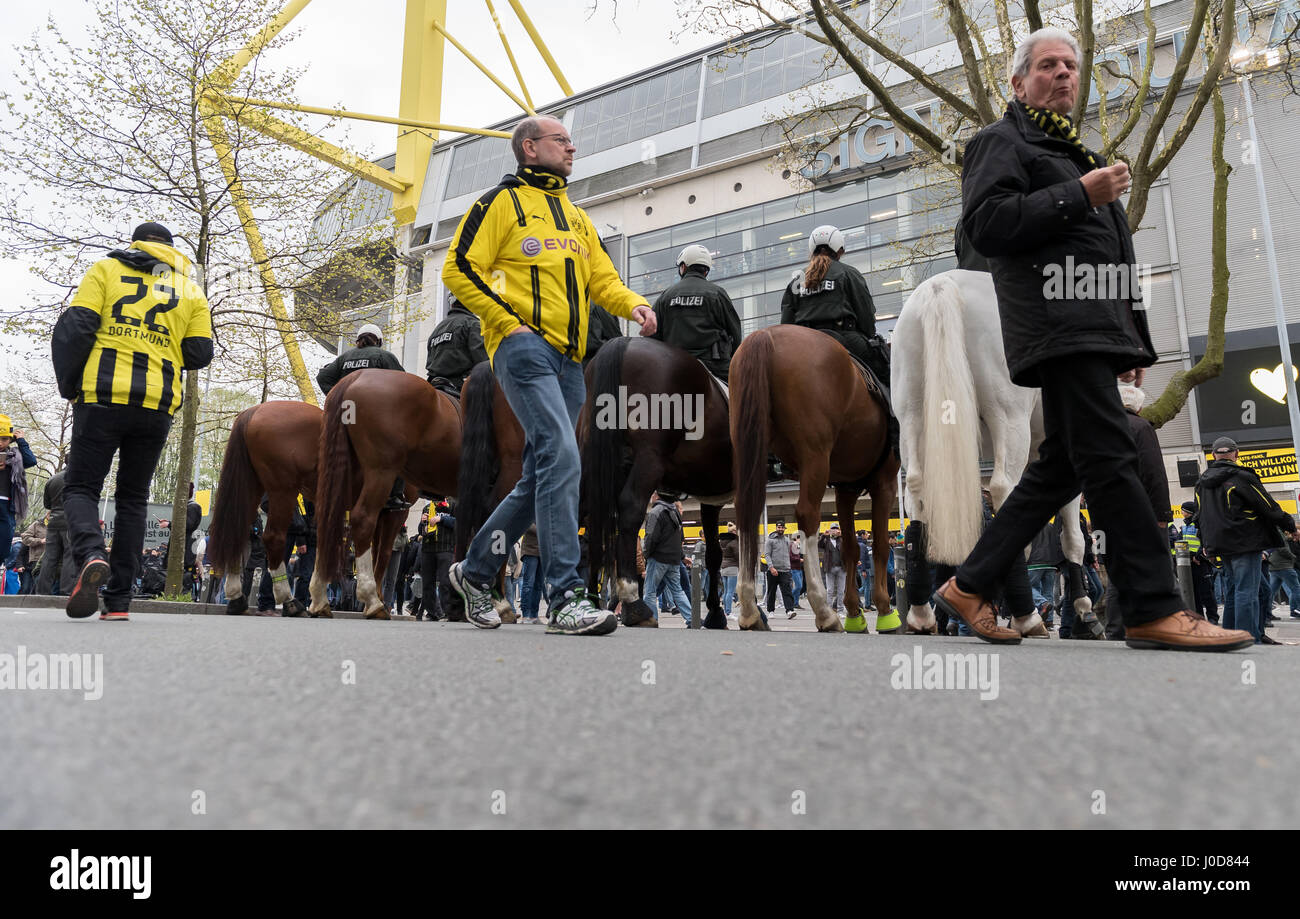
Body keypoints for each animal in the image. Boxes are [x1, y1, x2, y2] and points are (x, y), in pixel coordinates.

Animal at [579, 337, 733, 631]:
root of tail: (624, 343)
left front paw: (715, 612)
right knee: (629, 510)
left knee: (588, 519)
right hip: (649, 458)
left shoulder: (710, 498)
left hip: (593, 461)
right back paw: (634, 605)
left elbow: (714, 553)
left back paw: (590, 600)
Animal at [728, 327, 899, 636]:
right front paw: (885, 611)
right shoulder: (885, 482)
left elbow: (850, 548)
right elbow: (880, 545)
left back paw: (749, 610)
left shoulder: (846, 488)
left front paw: (855, 614)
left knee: (746, 510)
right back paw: (824, 611)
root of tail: (766, 334)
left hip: (748, 447)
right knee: (808, 514)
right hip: (815, 456)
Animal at [889, 269, 1092, 636]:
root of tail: (940, 285)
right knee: (1004, 491)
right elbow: (1072, 537)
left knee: (916, 490)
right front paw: (1083, 608)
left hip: (912, 416)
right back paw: (1026, 616)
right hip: (1008, 417)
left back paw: (923, 613)